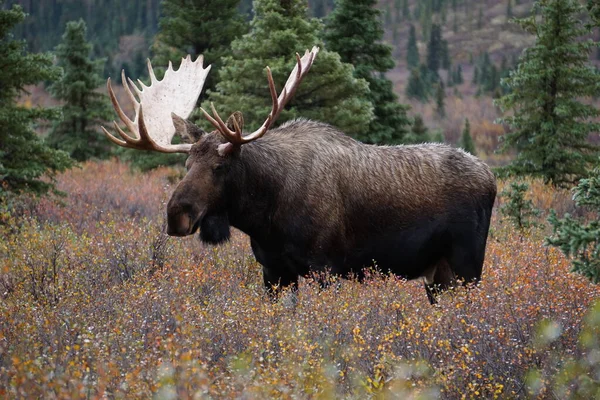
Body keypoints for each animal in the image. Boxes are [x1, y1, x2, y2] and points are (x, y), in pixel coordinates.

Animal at [103, 47, 496, 304]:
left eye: (219, 167)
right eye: (186, 165)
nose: (176, 215)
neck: (265, 216)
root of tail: (491, 177)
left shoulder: (327, 268)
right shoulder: (274, 272)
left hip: (467, 264)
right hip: (437, 273)